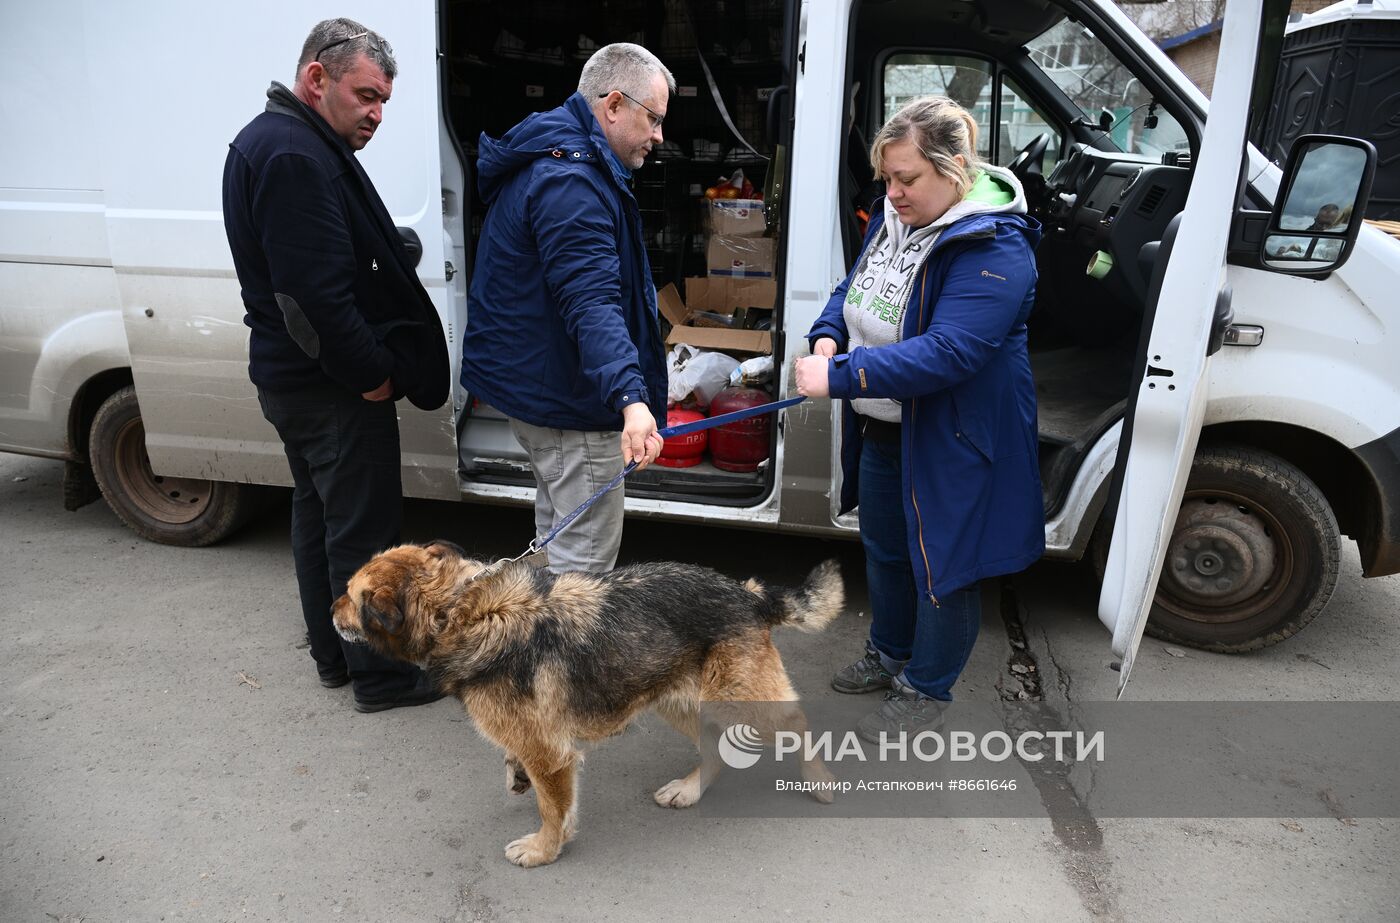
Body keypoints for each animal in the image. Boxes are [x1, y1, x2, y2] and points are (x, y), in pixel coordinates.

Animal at [333, 540, 840, 868]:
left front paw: (543, 850)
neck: (459, 608)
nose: (331, 610)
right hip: (680, 699)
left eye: (351, 596)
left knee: (798, 723)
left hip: (739, 699)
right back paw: (689, 789)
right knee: (717, 748)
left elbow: (552, 810)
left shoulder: (549, 755)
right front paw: (518, 778)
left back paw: (819, 779)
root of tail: (748, 594)